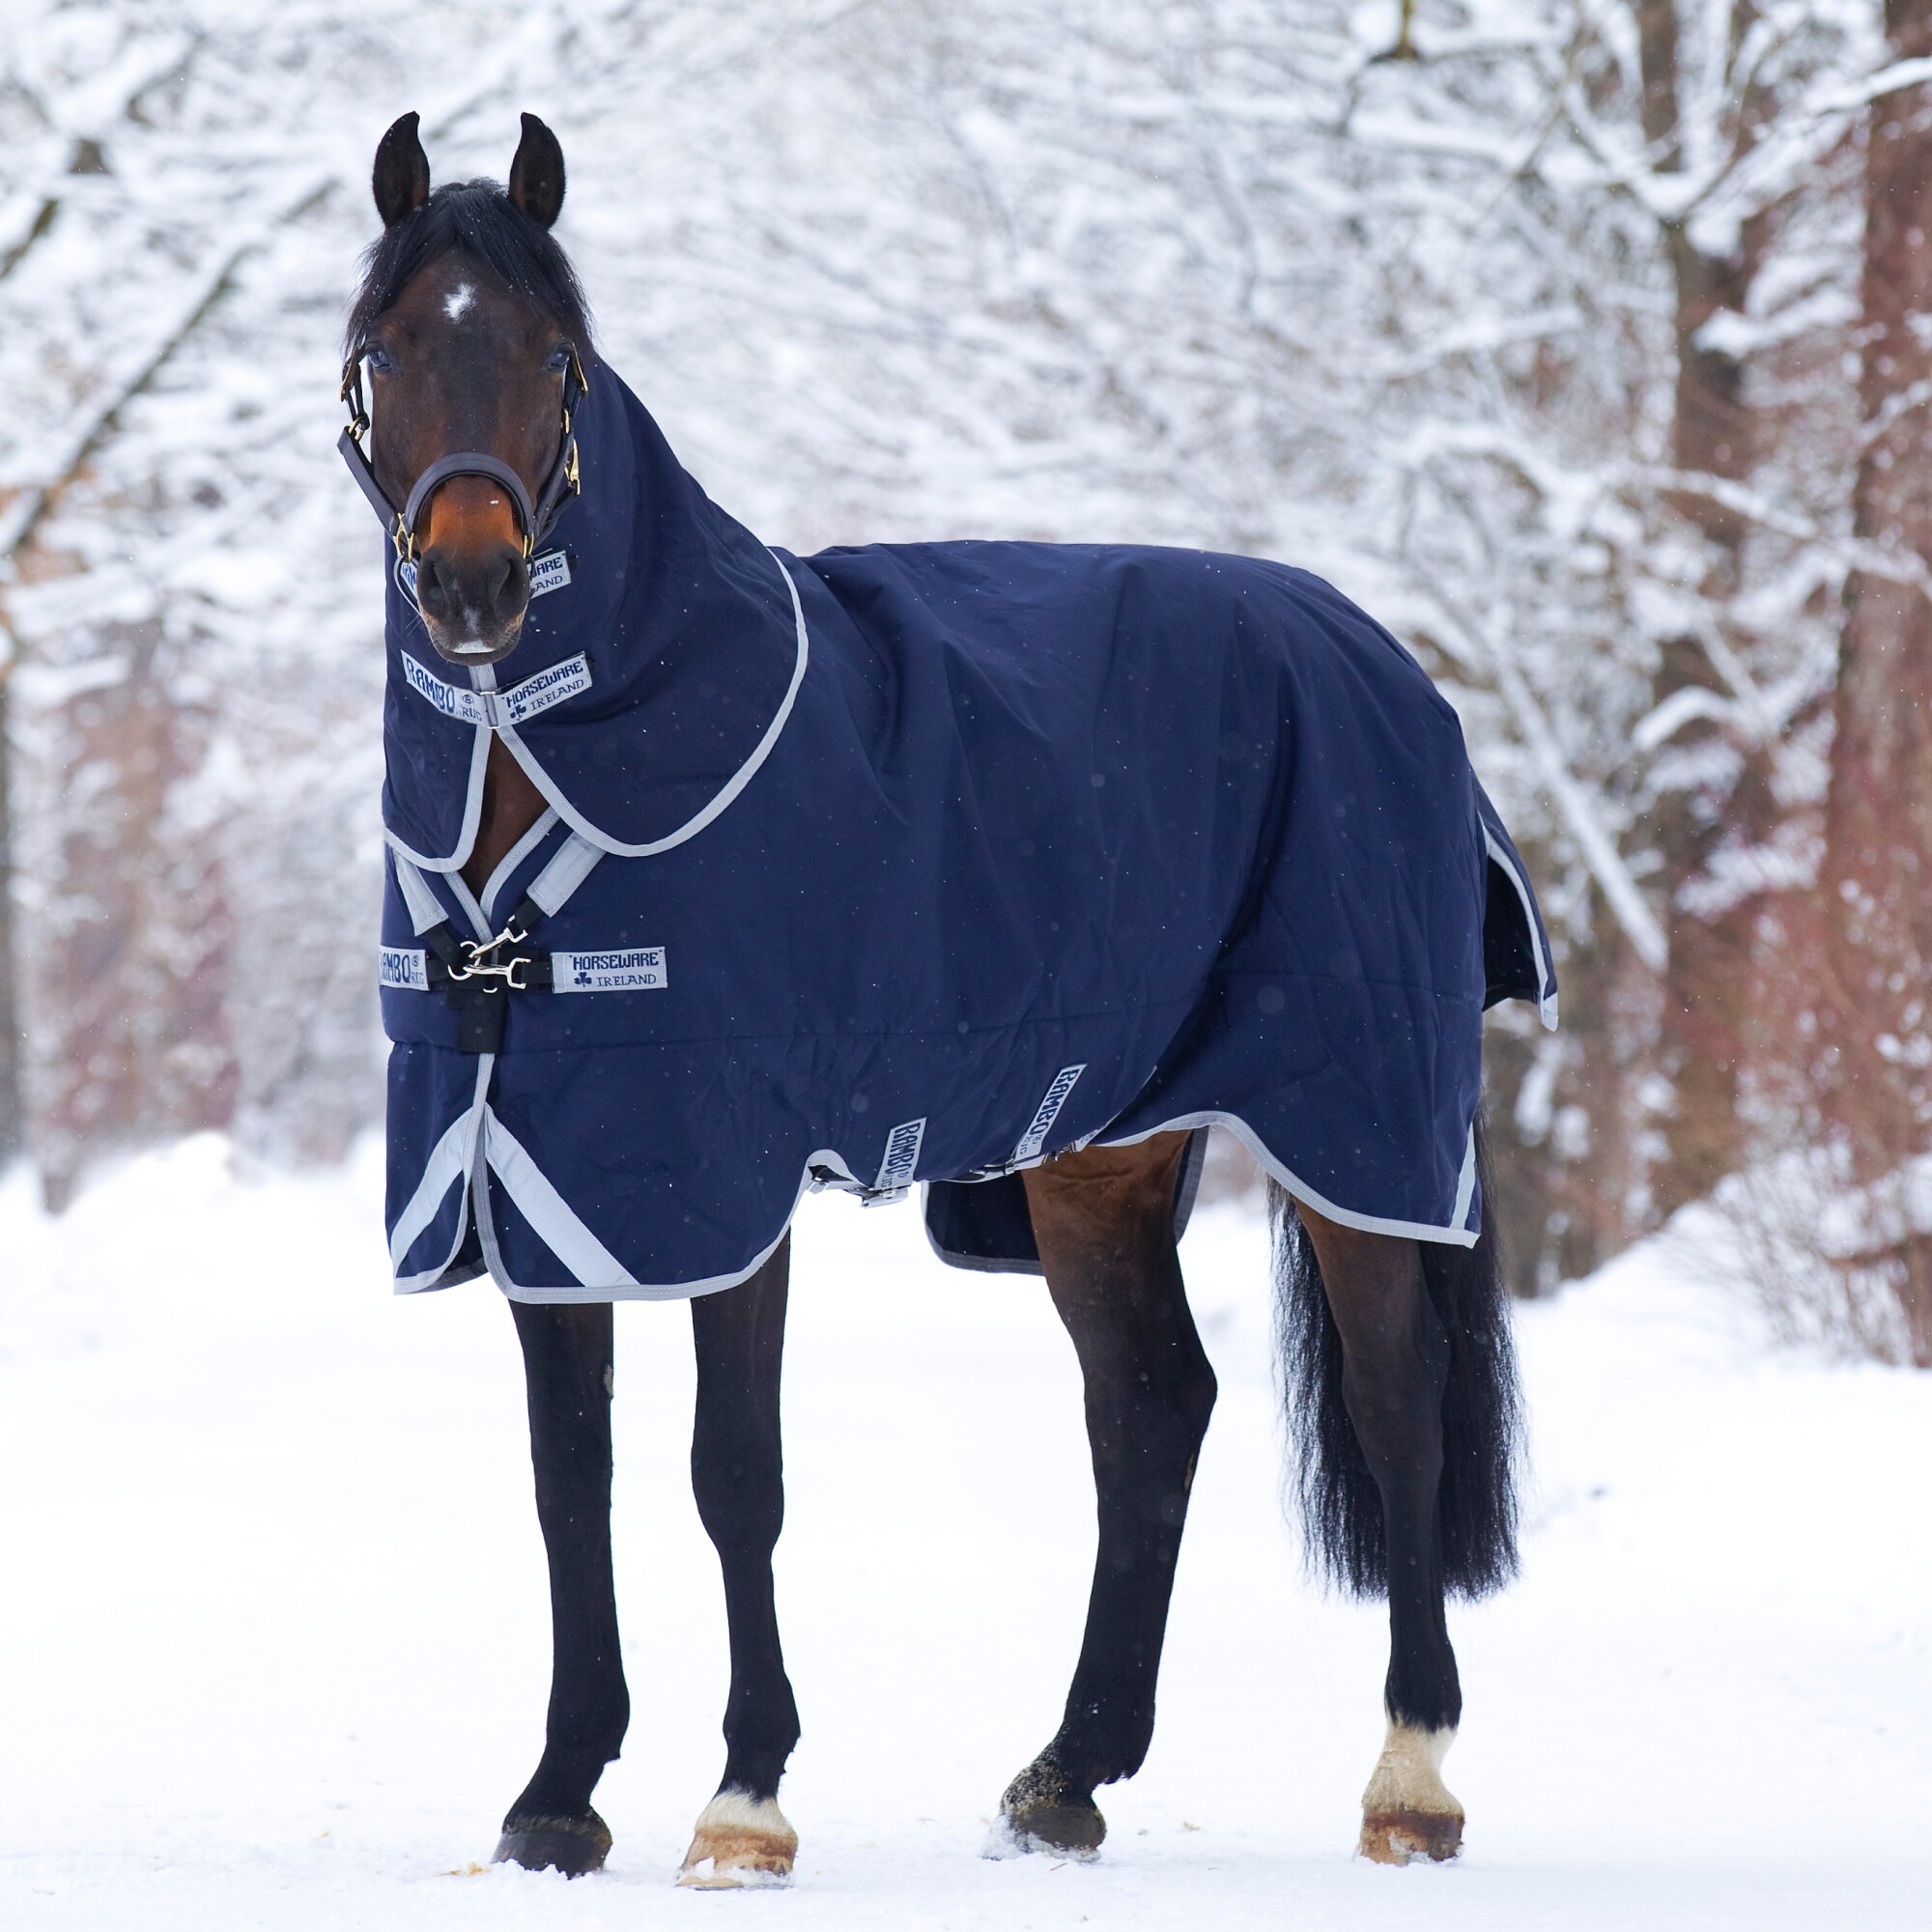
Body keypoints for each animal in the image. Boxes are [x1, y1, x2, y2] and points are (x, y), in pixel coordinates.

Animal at [341, 110, 1547, 1888]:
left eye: (559, 360)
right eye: (384, 352)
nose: (476, 585)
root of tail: (1384, 659)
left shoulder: (720, 1179)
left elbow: (732, 1472)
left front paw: (746, 1795)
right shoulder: (534, 1166)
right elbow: (573, 1479)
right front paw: (559, 1792)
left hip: (1360, 1122)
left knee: (1399, 1408)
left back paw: (1413, 1778)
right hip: (1101, 1158)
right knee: (1151, 1410)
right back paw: (1070, 1772)